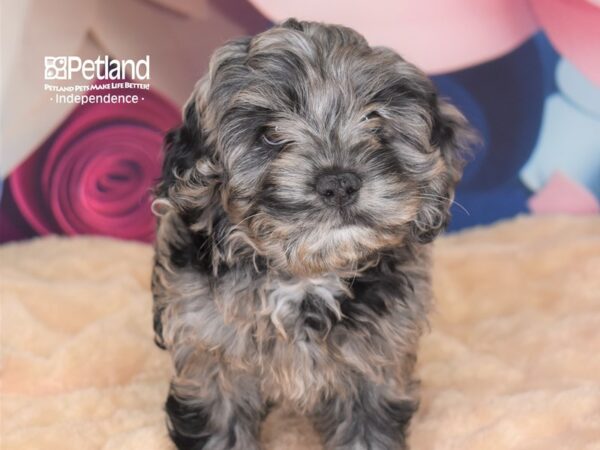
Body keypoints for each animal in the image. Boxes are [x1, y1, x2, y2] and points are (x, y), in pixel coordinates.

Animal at [152, 18, 472, 450]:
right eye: (269, 133)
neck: (305, 276)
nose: (339, 183)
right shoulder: (209, 357)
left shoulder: (375, 366)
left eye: (375, 119)